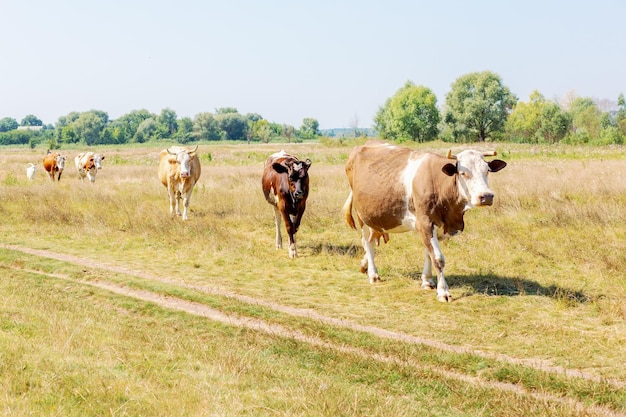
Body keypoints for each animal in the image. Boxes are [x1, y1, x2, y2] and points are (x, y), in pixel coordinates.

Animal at [342, 141, 508, 300]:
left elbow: (428, 253)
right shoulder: (425, 223)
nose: (486, 196)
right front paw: (443, 291)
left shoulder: (437, 225)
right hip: (362, 216)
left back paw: (364, 266)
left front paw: (427, 281)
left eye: (487, 171)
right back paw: (373, 274)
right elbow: (438, 258)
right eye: (463, 173)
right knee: (367, 242)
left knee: (371, 239)